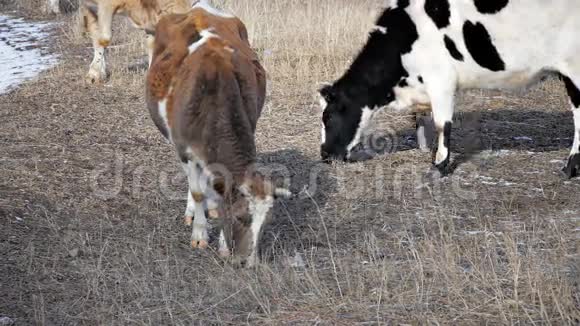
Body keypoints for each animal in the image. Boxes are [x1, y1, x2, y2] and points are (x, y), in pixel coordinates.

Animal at [145, 4, 290, 268]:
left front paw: (222, 244)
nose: (249, 263)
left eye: (267, 222)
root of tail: (199, 7)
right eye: (241, 217)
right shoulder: (185, 149)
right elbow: (197, 191)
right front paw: (200, 234)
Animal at [320, 0, 580, 178]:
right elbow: (422, 121)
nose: (324, 155)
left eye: (328, 117)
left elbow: (442, 124)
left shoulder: (441, 80)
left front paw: (439, 166)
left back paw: (569, 168)